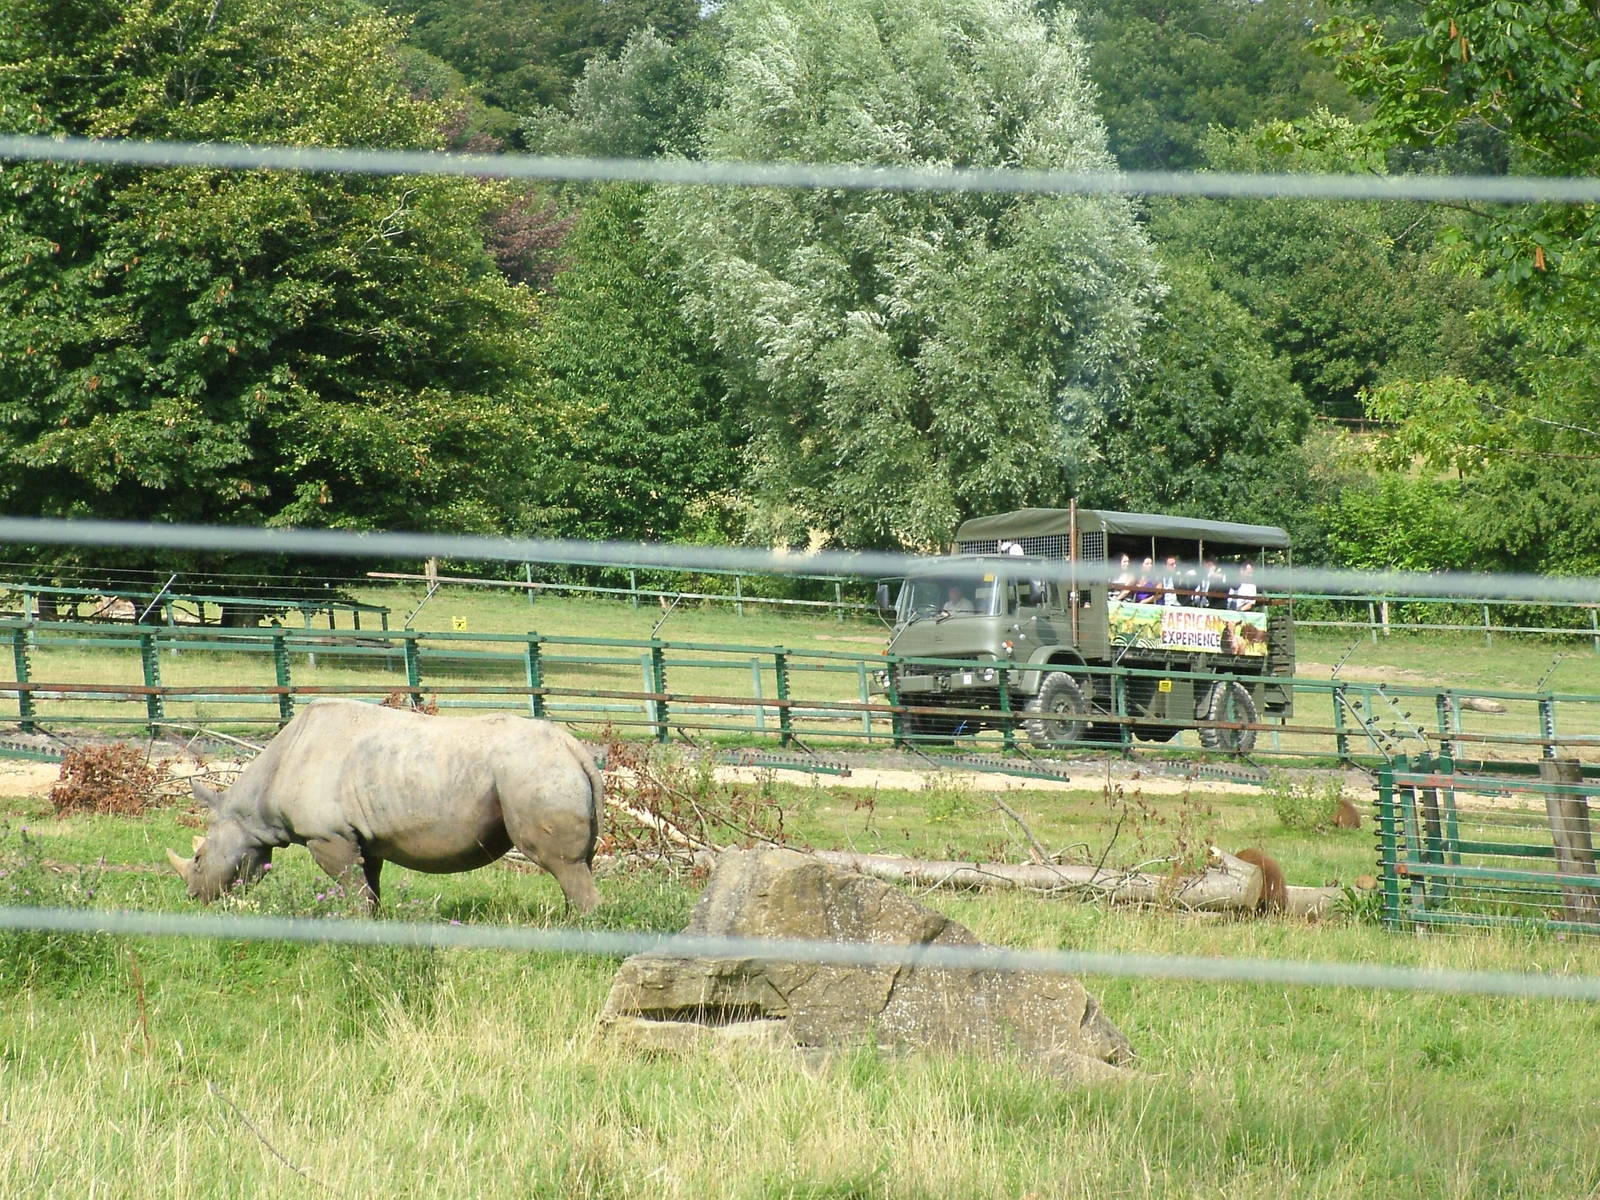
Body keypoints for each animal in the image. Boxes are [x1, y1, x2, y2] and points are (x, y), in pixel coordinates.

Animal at [166, 700, 601, 912]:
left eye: (199, 859)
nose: (193, 898)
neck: (252, 810)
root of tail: (574, 747)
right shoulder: (359, 836)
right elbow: (369, 885)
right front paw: (375, 924)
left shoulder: (328, 836)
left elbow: (351, 887)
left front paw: (353, 923)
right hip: (543, 769)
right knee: (580, 863)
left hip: (533, 771)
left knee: (561, 864)